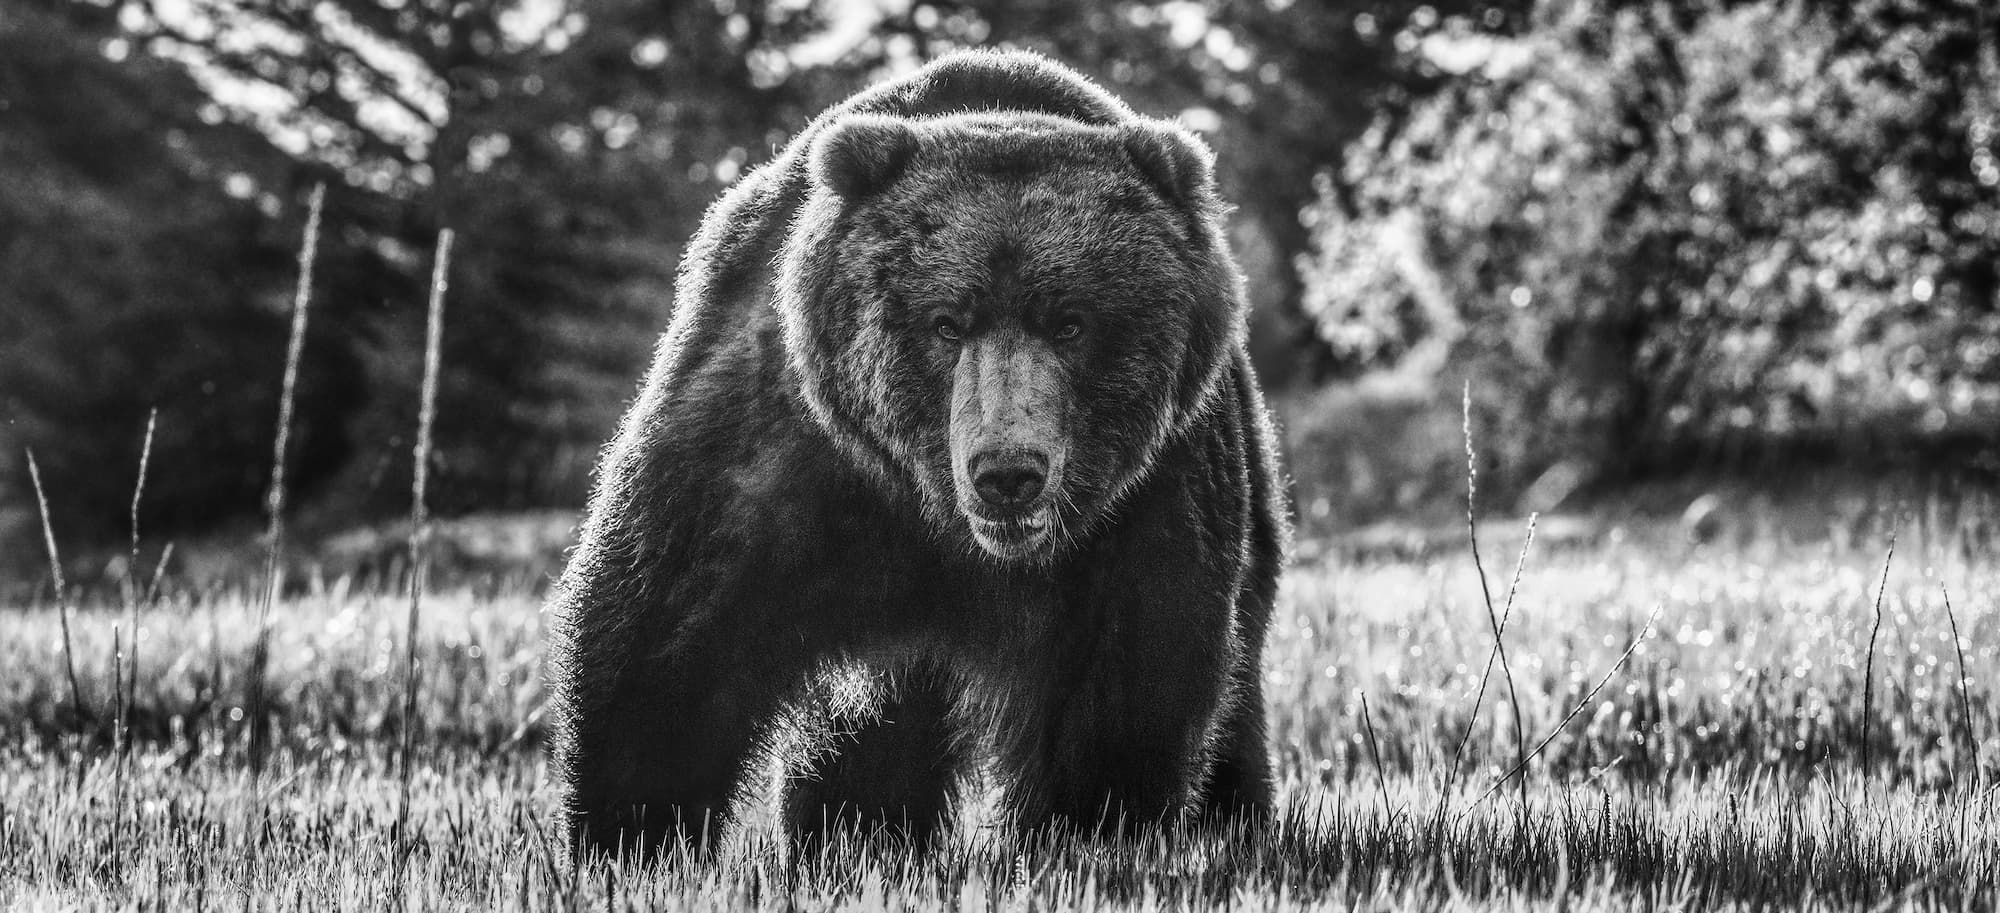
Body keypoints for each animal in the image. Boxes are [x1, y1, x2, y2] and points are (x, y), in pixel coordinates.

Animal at [547, 48, 1289, 860]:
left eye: (1070, 322)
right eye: (946, 322)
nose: (1007, 474)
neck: (943, 524)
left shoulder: (1146, 500)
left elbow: (1122, 696)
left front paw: (1083, 843)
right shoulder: (779, 453)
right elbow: (668, 639)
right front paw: (632, 841)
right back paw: (856, 838)